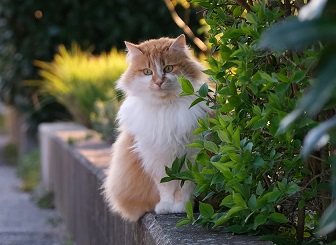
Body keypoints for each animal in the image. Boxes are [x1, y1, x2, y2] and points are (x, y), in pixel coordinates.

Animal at [103, 35, 211, 222]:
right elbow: (166, 187)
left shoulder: (191, 156)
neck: (165, 108)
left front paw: (182, 207)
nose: (159, 82)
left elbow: (185, 187)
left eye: (168, 68)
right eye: (147, 72)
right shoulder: (157, 159)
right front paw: (166, 207)